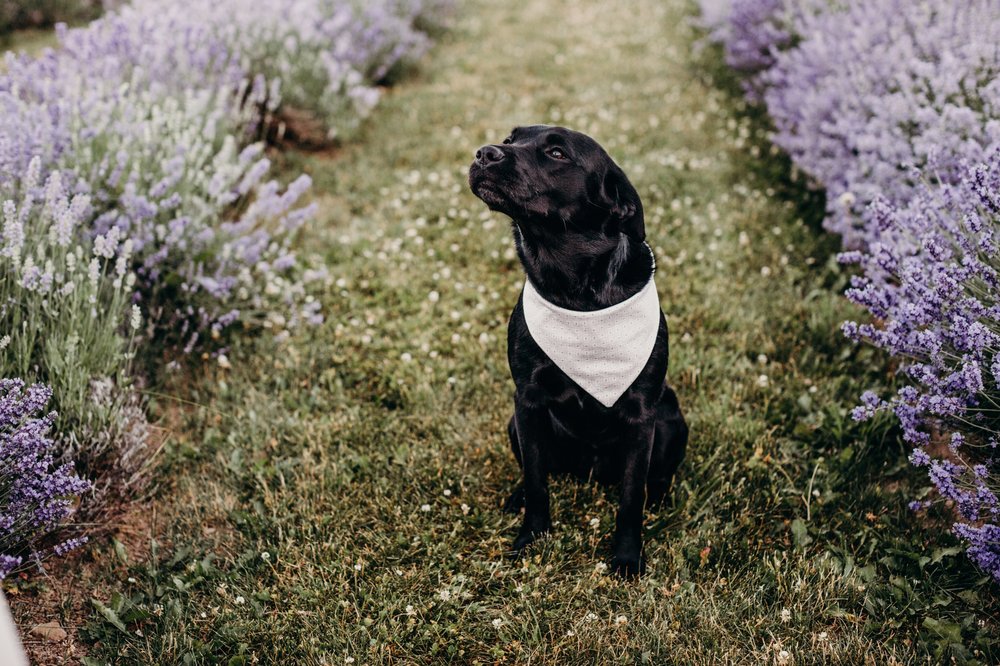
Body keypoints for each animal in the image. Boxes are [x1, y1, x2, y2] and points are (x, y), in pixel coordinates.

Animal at [468, 123, 688, 576]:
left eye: (556, 152)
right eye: (511, 139)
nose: (484, 153)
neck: (576, 292)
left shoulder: (643, 417)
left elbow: (630, 499)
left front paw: (627, 559)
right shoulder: (528, 402)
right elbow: (537, 482)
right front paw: (531, 538)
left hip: (671, 418)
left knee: (653, 480)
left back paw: (660, 498)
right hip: (515, 425)